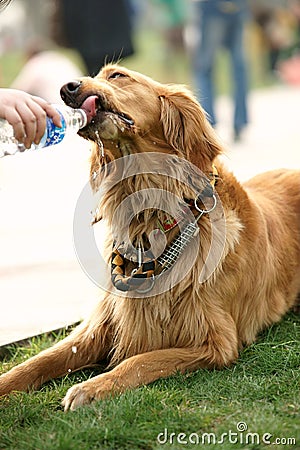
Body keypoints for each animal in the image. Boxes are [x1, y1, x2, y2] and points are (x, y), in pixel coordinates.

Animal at [0, 65, 300, 410]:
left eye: (117, 75)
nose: (66, 88)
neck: (149, 212)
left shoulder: (216, 341)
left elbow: (141, 361)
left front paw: (93, 387)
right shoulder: (99, 325)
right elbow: (38, 360)